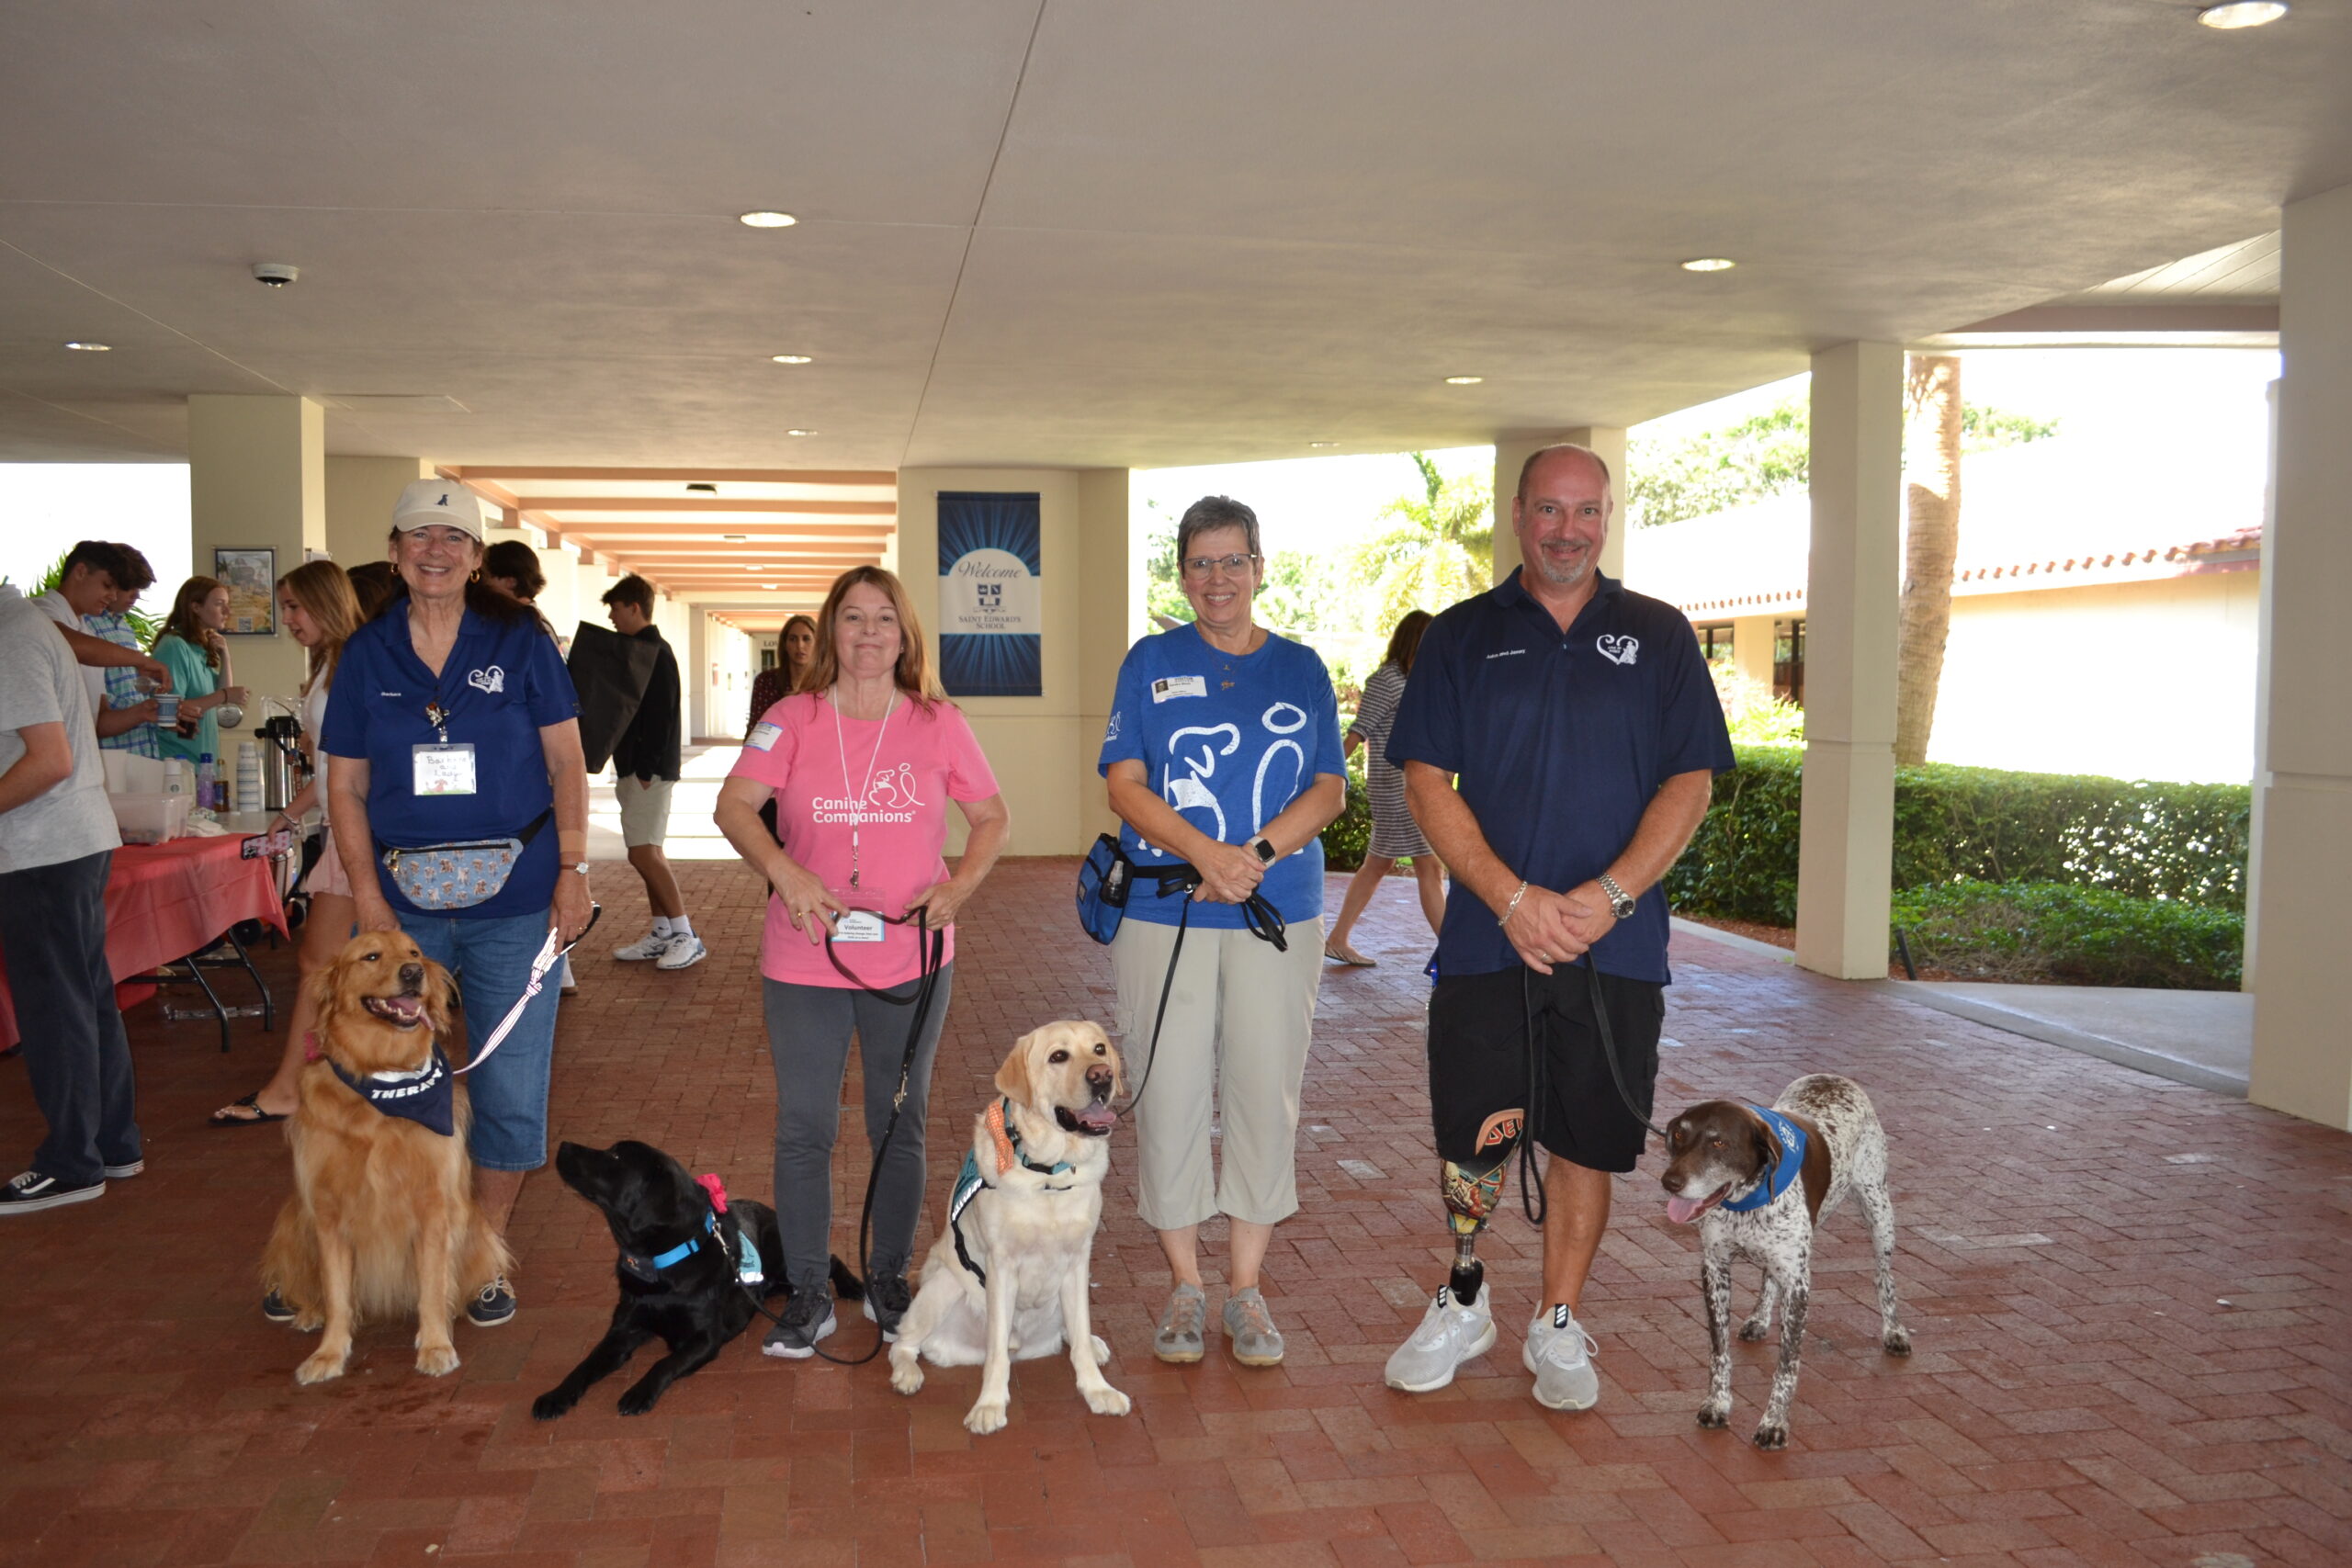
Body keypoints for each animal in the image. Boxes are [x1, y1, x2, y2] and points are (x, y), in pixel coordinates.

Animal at [1656, 1072, 1909, 1457]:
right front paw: (1718, 1404)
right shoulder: (1715, 1270)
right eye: (1680, 1135)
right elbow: (1719, 1352)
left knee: (1885, 1278)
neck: (1747, 1204)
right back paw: (1759, 1319)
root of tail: (1832, 1076)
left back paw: (1893, 1331)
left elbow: (1787, 1365)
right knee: (1768, 1278)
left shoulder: (1798, 1285)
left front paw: (1774, 1424)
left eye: (1719, 1143)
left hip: (1879, 1212)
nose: (1670, 1182)